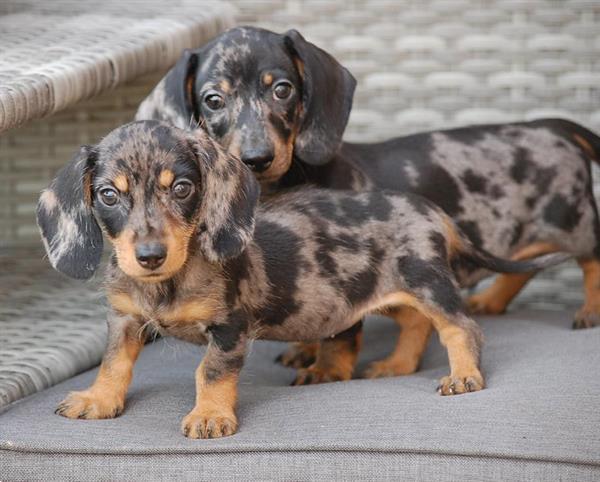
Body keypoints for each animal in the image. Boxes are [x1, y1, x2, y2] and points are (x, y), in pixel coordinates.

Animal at [36, 120, 568, 436]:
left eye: (182, 188)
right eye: (108, 195)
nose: (149, 256)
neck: (170, 280)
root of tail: (430, 210)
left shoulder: (229, 328)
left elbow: (210, 372)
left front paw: (209, 415)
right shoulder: (124, 320)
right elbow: (114, 363)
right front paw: (98, 400)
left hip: (427, 282)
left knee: (460, 327)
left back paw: (463, 375)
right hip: (387, 293)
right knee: (416, 325)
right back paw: (396, 365)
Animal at [136, 27, 600, 380]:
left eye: (283, 90)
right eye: (213, 99)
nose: (256, 158)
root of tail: (553, 126)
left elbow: (341, 333)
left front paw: (324, 370)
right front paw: (304, 349)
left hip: (574, 220)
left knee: (591, 258)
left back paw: (590, 309)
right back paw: (491, 301)